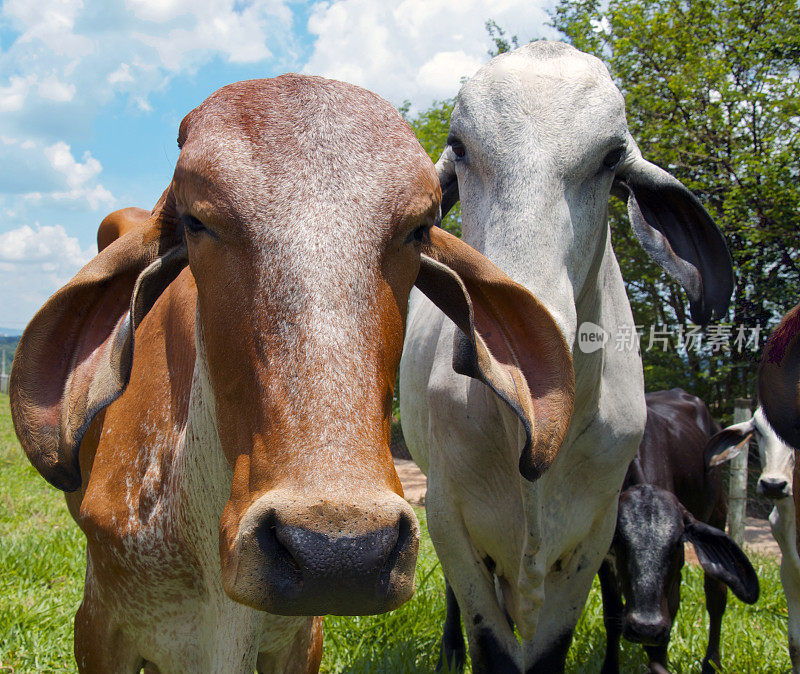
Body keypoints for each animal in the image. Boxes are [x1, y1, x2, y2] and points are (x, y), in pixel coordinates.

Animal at [396, 39, 736, 668]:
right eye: (460, 147)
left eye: (611, 158)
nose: (512, 339)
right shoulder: (450, 520)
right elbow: (491, 642)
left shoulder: (594, 537)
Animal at [600, 388, 764, 672]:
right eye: (619, 540)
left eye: (676, 543)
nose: (646, 627)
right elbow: (612, 616)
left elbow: (671, 613)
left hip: (718, 511)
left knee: (716, 596)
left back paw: (712, 662)